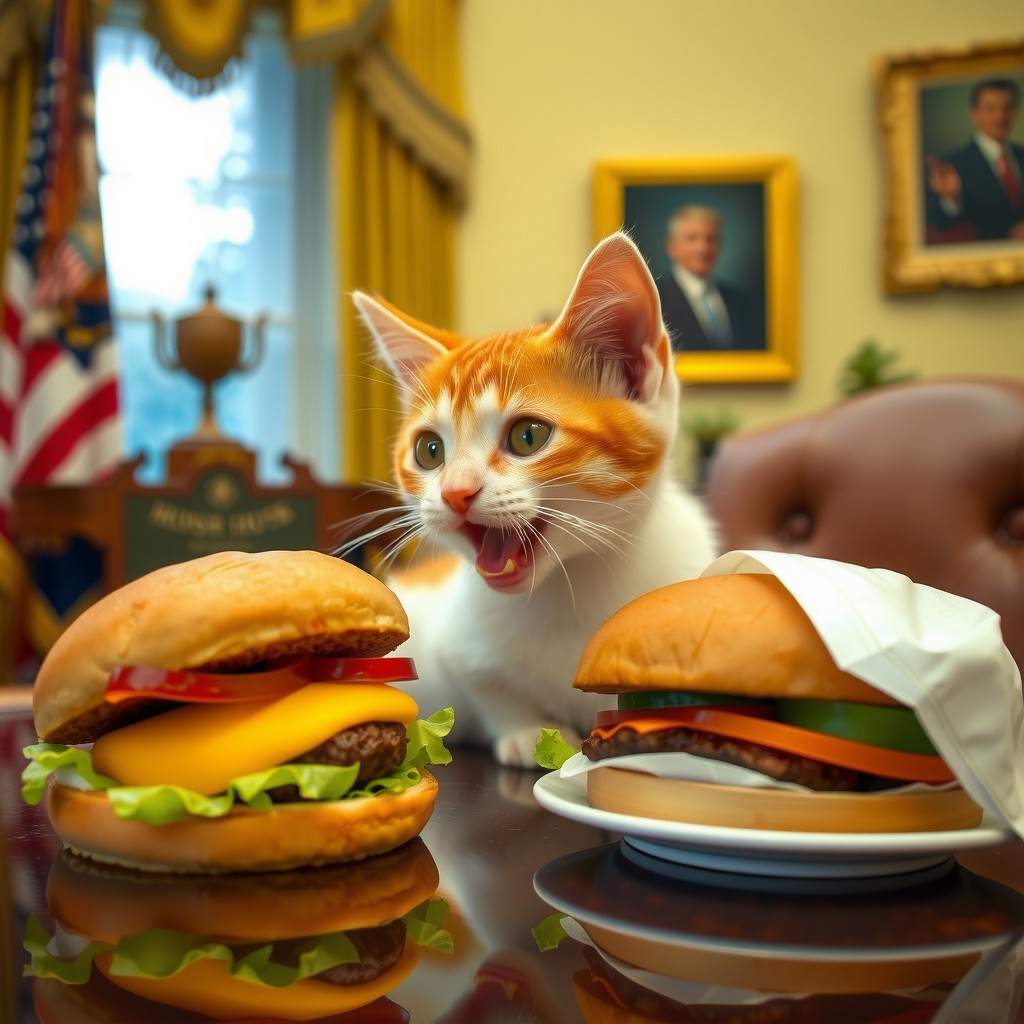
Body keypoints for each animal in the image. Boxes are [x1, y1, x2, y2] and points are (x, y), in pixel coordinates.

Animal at [352, 230, 720, 761]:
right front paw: (527, 731)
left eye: (528, 436)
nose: (455, 492)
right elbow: (485, 683)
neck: (570, 588)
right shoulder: (452, 642)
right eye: (429, 450)